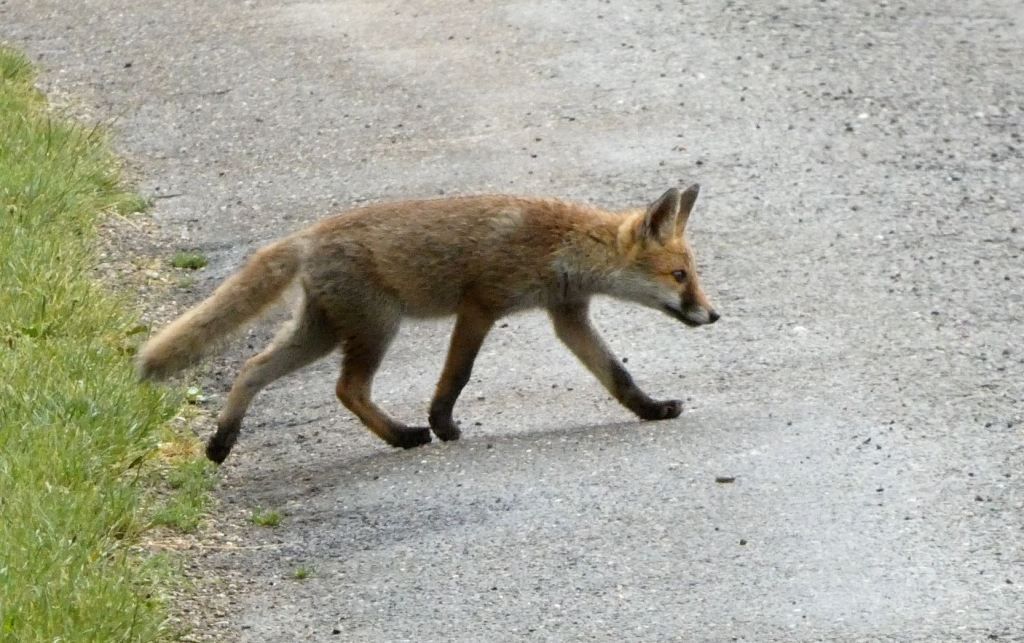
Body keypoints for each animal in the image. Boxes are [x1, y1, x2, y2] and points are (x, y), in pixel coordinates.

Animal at [137, 185, 719, 464]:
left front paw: (652, 409)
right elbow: (455, 377)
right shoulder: (480, 306)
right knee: (348, 388)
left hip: (322, 333)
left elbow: (618, 376)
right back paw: (405, 436)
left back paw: (222, 442)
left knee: (253, 369)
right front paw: (442, 424)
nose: (713, 314)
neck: (560, 246)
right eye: (680, 275)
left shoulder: (567, 315)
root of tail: (308, 234)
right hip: (376, 327)